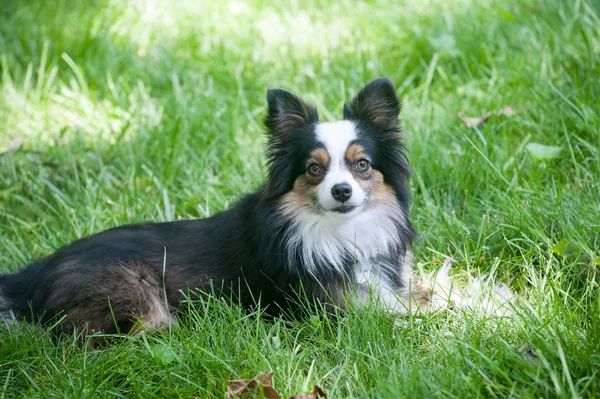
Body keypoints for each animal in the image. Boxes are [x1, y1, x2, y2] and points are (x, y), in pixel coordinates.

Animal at [0, 77, 512, 338]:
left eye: (361, 164)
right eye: (314, 169)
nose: (341, 191)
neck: (337, 232)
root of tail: (32, 273)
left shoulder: (386, 281)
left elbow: (438, 291)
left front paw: (496, 299)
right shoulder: (337, 309)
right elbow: (425, 315)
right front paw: (488, 319)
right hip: (135, 295)